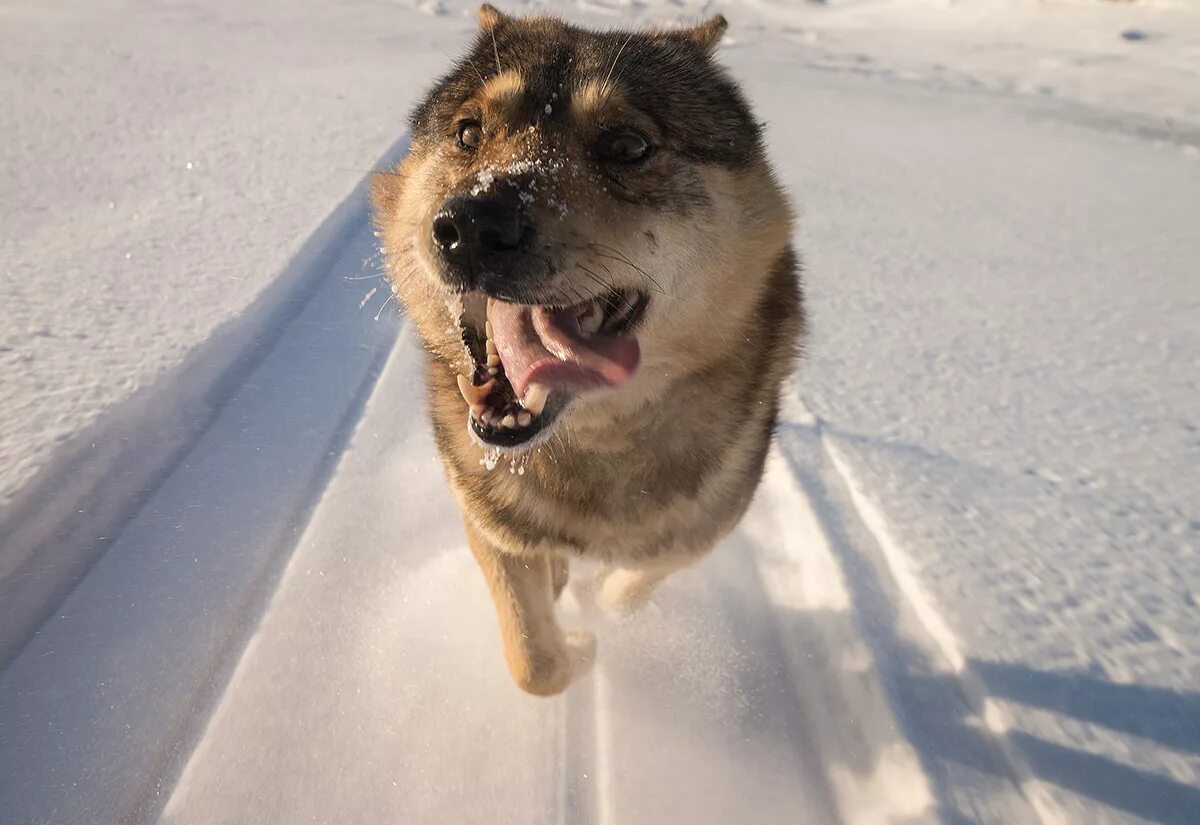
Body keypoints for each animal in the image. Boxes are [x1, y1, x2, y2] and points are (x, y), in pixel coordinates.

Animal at [369, 4, 801, 695]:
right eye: (468, 132)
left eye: (627, 146)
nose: (473, 226)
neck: (594, 439)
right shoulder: (488, 514)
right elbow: (533, 661)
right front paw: (573, 643)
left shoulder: (705, 526)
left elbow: (631, 584)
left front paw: (599, 612)